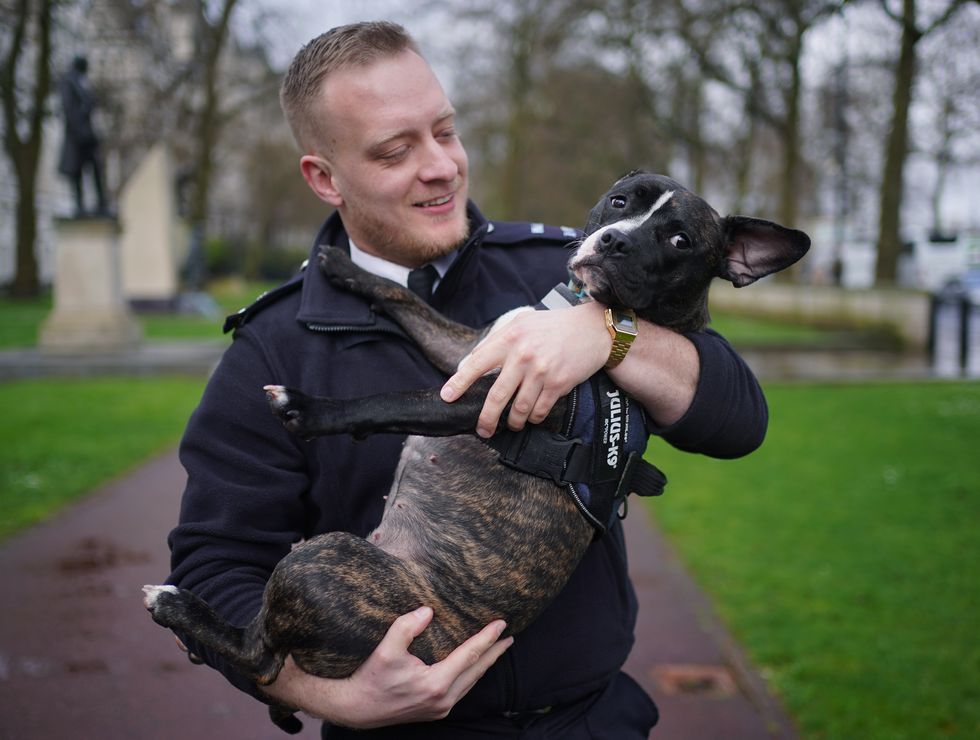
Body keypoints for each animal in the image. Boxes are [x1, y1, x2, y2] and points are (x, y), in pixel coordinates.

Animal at [142, 171, 808, 732]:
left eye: (678, 240)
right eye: (621, 200)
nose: (615, 240)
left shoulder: (484, 399)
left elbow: (394, 398)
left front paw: (308, 410)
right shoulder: (466, 349)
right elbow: (410, 304)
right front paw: (343, 267)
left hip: (319, 562)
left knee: (259, 660)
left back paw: (176, 605)